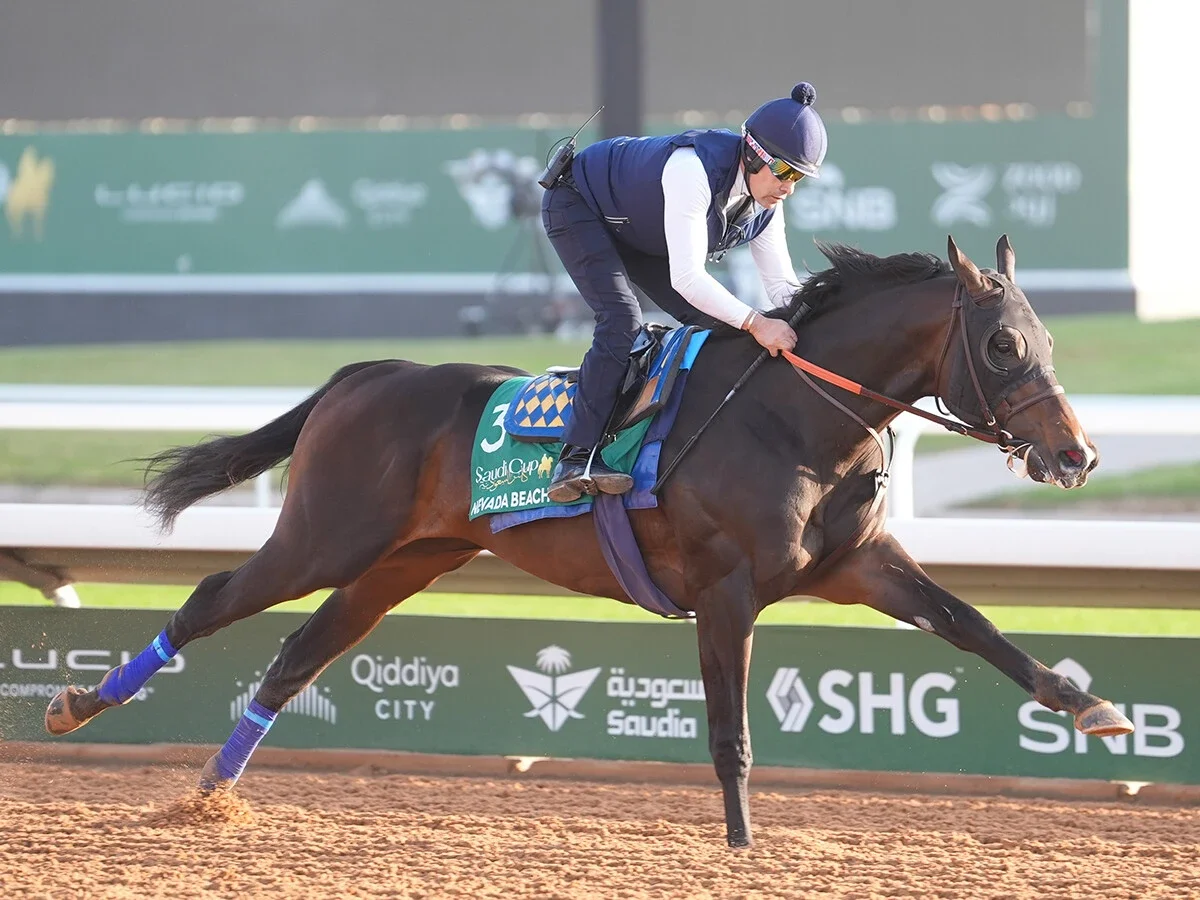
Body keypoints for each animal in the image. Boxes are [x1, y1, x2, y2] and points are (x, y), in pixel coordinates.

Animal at [45, 234, 1135, 848]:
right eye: (1002, 344)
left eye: (1045, 339)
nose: (1077, 455)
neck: (792, 417)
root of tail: (365, 374)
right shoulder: (727, 588)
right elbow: (730, 730)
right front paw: (741, 846)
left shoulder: (857, 564)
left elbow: (973, 625)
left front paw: (1093, 708)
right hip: (326, 538)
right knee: (211, 599)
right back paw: (77, 706)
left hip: (399, 564)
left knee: (294, 657)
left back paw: (208, 803)